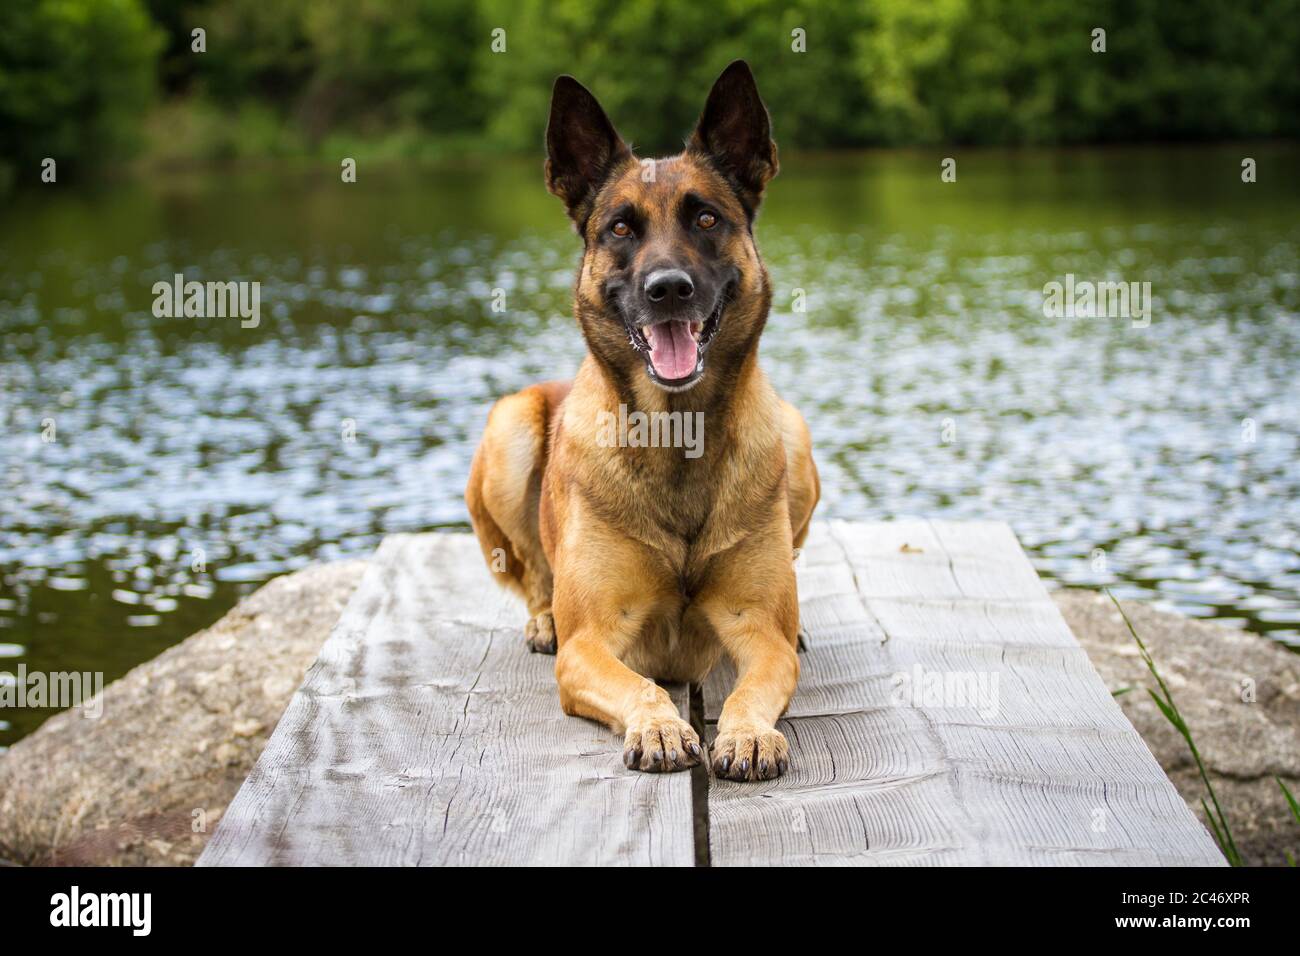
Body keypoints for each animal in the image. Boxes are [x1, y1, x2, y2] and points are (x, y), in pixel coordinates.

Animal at [462, 59, 816, 780]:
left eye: (706, 218)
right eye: (621, 229)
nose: (668, 288)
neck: (677, 436)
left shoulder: (755, 629)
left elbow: (754, 683)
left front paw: (747, 733)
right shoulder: (592, 644)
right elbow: (642, 684)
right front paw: (658, 726)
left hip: (796, 439)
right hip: (509, 428)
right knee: (533, 578)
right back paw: (542, 620)